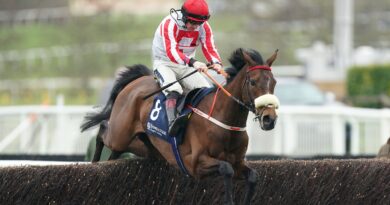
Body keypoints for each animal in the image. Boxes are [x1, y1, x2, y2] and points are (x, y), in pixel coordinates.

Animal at [80, 47, 278, 204]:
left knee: (115, 150)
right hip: (120, 134)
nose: (269, 118)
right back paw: (94, 164)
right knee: (103, 130)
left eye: (274, 82)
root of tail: (136, 82)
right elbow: (225, 169)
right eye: (253, 82)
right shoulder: (195, 163)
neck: (224, 121)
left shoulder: (238, 163)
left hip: (144, 145)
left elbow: (253, 176)